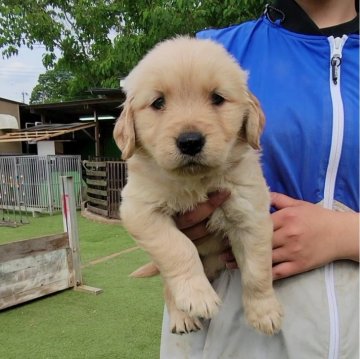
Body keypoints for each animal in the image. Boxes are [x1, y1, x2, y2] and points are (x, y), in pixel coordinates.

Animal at [114, 35, 282, 334]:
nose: (190, 141)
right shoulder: (140, 210)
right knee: (168, 286)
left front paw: (264, 312)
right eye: (158, 102)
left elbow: (258, 270)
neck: (195, 181)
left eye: (217, 98)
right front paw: (198, 297)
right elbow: (178, 247)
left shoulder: (251, 213)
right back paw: (182, 317)